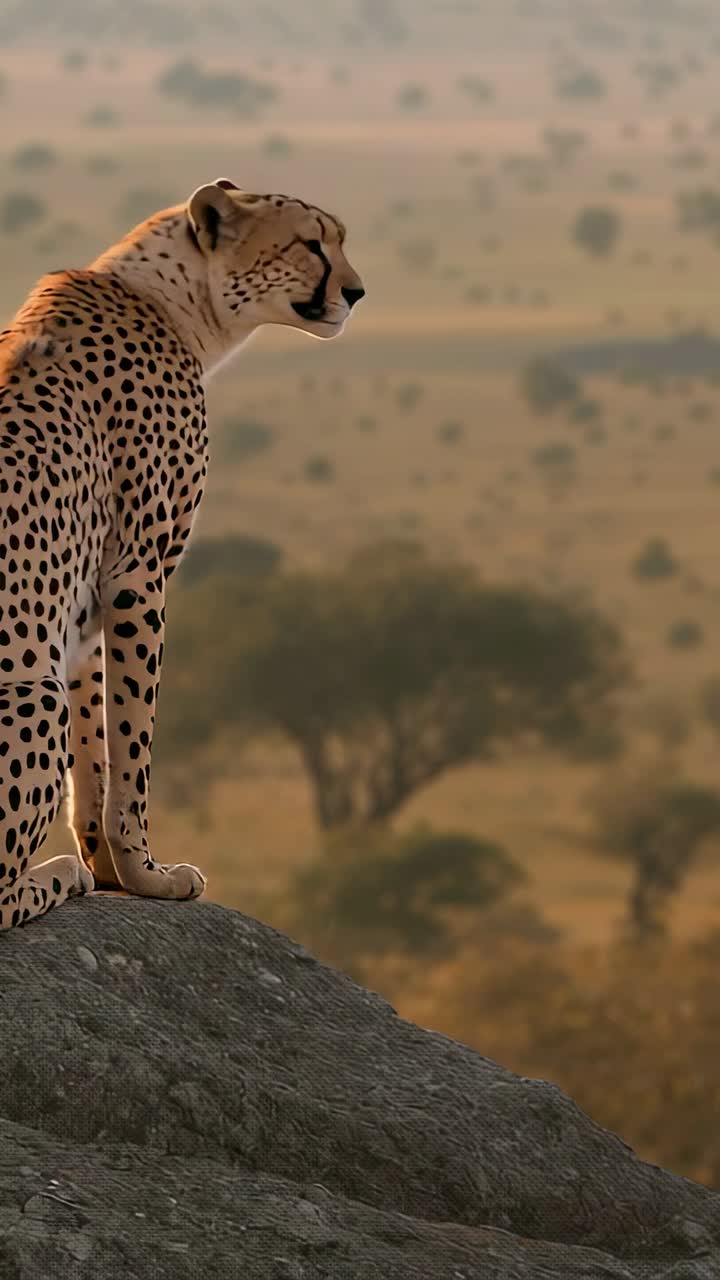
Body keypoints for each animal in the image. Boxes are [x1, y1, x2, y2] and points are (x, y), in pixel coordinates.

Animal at [0, 177, 364, 929]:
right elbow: (133, 738)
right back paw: (51, 877)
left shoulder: (85, 608)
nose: (357, 291)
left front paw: (111, 869)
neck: (172, 300)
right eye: (312, 244)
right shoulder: (138, 575)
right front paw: (149, 875)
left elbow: (96, 751)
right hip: (31, 696)